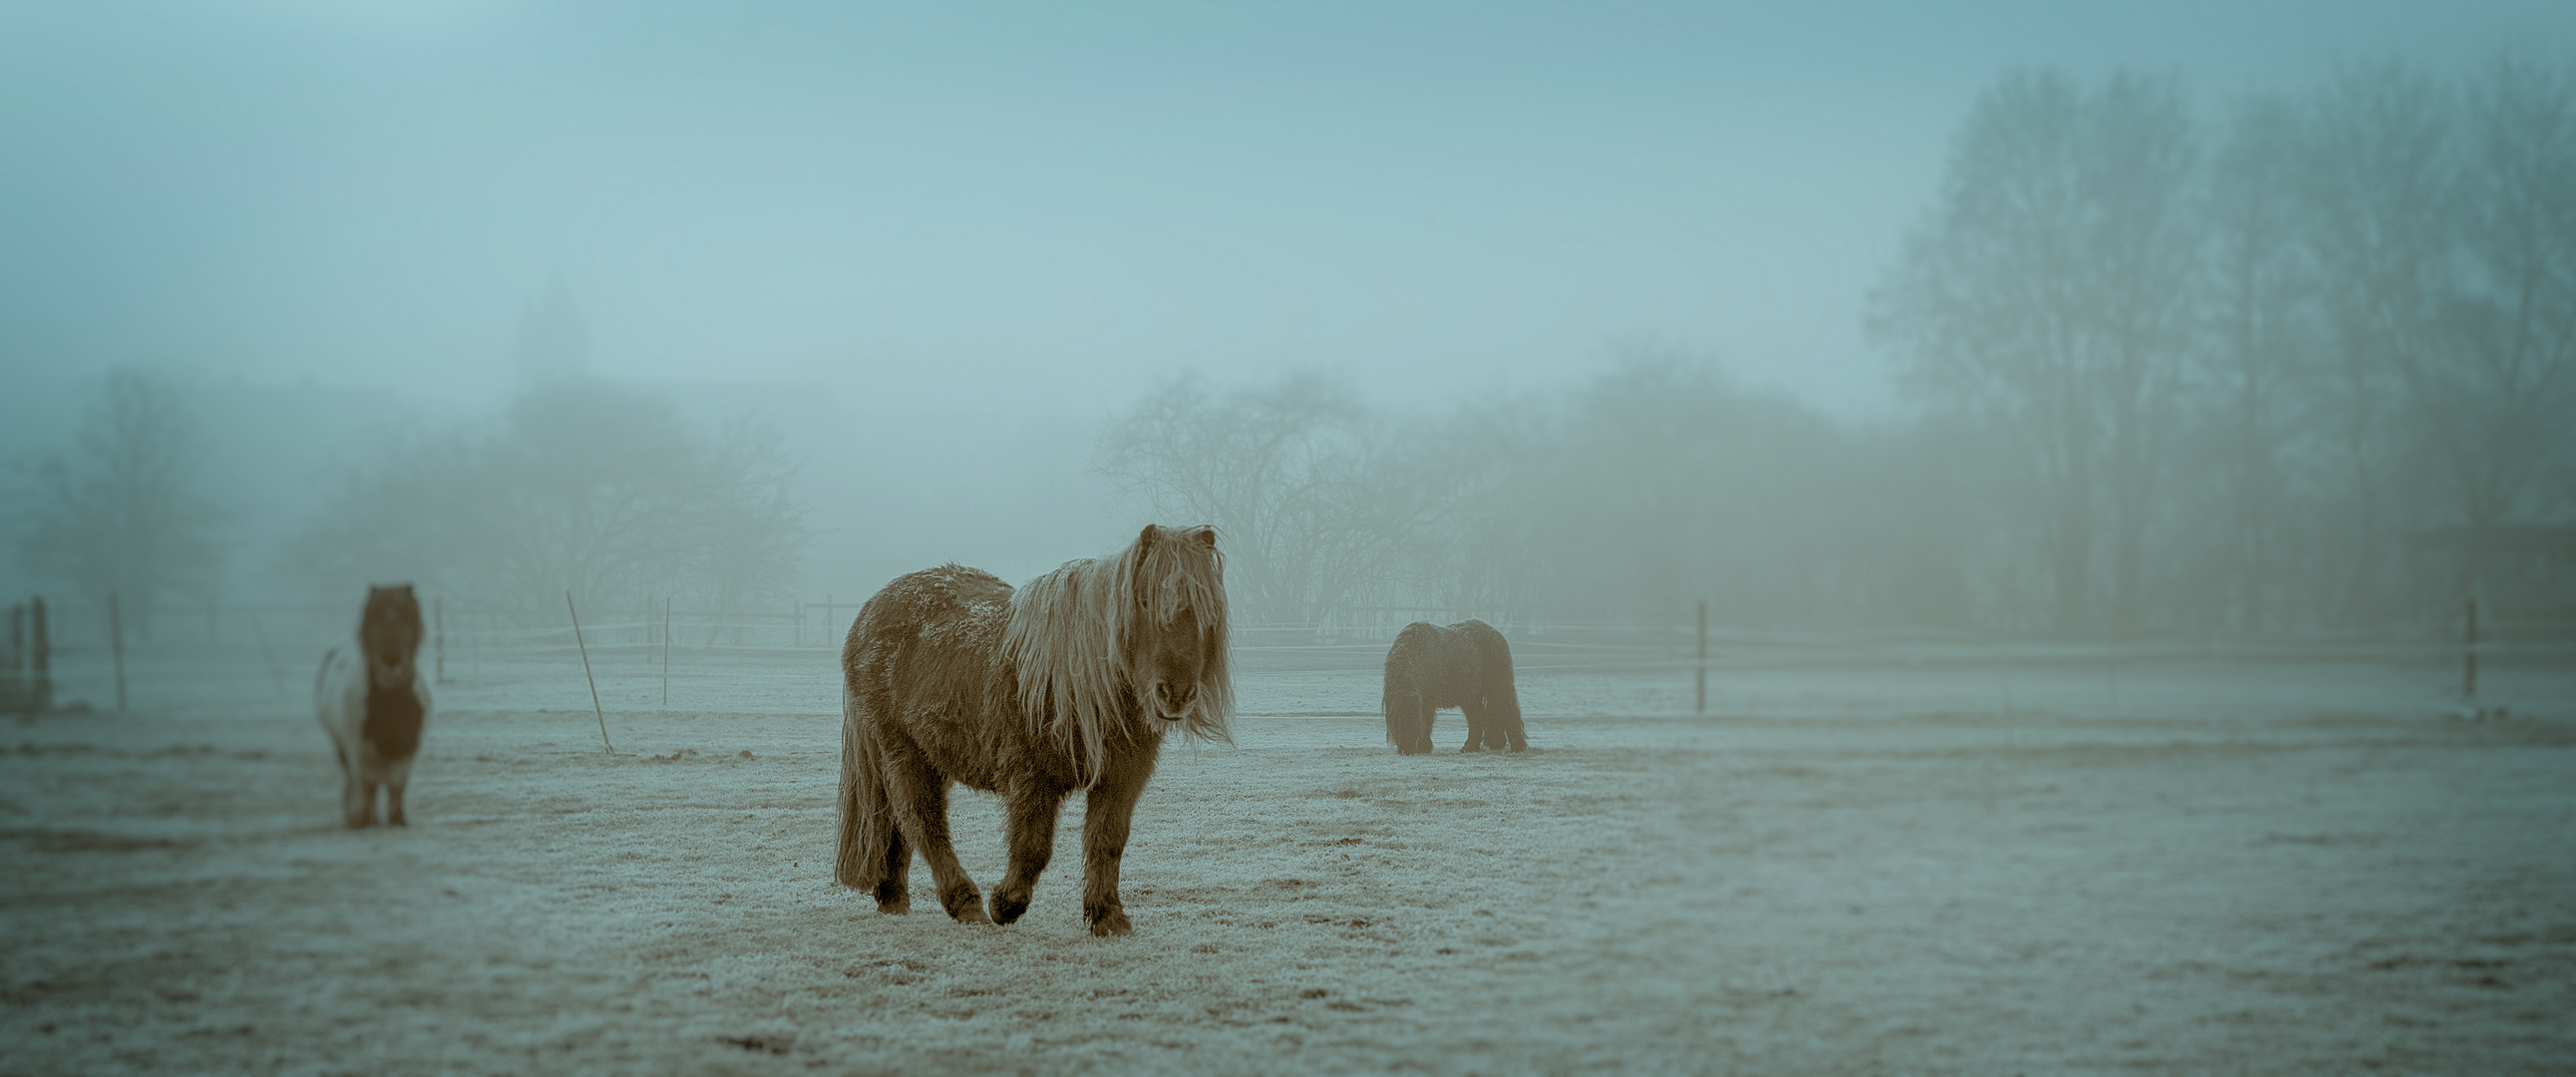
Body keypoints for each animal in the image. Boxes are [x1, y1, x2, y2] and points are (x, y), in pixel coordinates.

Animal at [314, 584, 430, 829]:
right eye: (373, 616)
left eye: (410, 615)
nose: (391, 660)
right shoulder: (358, 749)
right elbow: (368, 786)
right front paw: (366, 819)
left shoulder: (409, 748)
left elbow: (397, 785)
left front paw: (397, 820)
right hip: (342, 747)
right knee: (356, 780)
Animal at [824, 520, 1226, 932]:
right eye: (1144, 601)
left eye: (1208, 607)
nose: (1176, 693)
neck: (1079, 677)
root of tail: (869, 613)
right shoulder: (1030, 776)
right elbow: (1033, 847)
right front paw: (1006, 905)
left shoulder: (1122, 777)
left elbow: (1107, 842)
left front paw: (1108, 917)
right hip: (904, 752)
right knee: (922, 821)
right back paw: (965, 903)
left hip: (929, 754)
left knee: (895, 822)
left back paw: (893, 897)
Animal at [1390, 618, 1525, 752]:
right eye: (1397, 721)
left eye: (1413, 721)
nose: (1406, 750)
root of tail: (1498, 635)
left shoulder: (1428, 700)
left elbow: (1425, 723)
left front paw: (1423, 747)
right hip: (1471, 696)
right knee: (1478, 715)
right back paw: (1474, 746)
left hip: (1499, 687)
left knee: (1508, 709)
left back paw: (1517, 745)